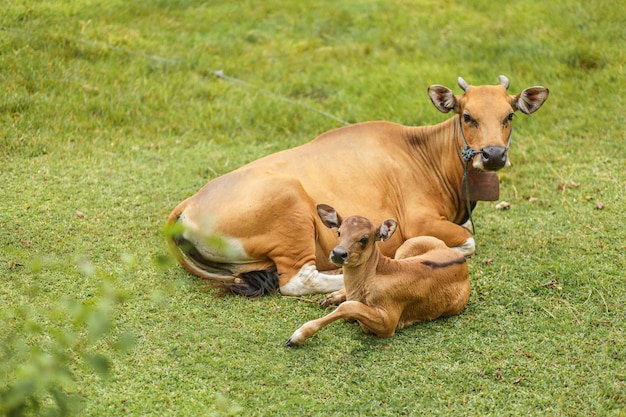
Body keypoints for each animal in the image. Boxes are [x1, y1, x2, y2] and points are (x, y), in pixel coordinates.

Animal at [166, 75, 544, 296]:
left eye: (509, 116)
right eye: (467, 116)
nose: (493, 155)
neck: (423, 152)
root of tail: (188, 205)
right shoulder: (420, 222)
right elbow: (467, 242)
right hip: (291, 210)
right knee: (299, 280)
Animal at [284, 203, 468, 346]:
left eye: (365, 239)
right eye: (339, 232)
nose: (338, 253)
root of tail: (460, 258)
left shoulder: (389, 321)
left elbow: (349, 307)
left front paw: (295, 337)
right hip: (407, 247)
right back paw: (331, 296)